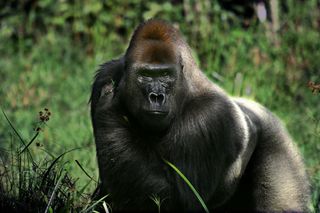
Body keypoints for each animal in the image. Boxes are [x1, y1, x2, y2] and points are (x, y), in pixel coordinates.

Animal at [90, 19, 310, 211]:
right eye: (145, 75)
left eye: (166, 75)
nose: (156, 96)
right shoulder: (105, 74)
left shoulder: (208, 117)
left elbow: (180, 199)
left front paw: (108, 108)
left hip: (277, 141)